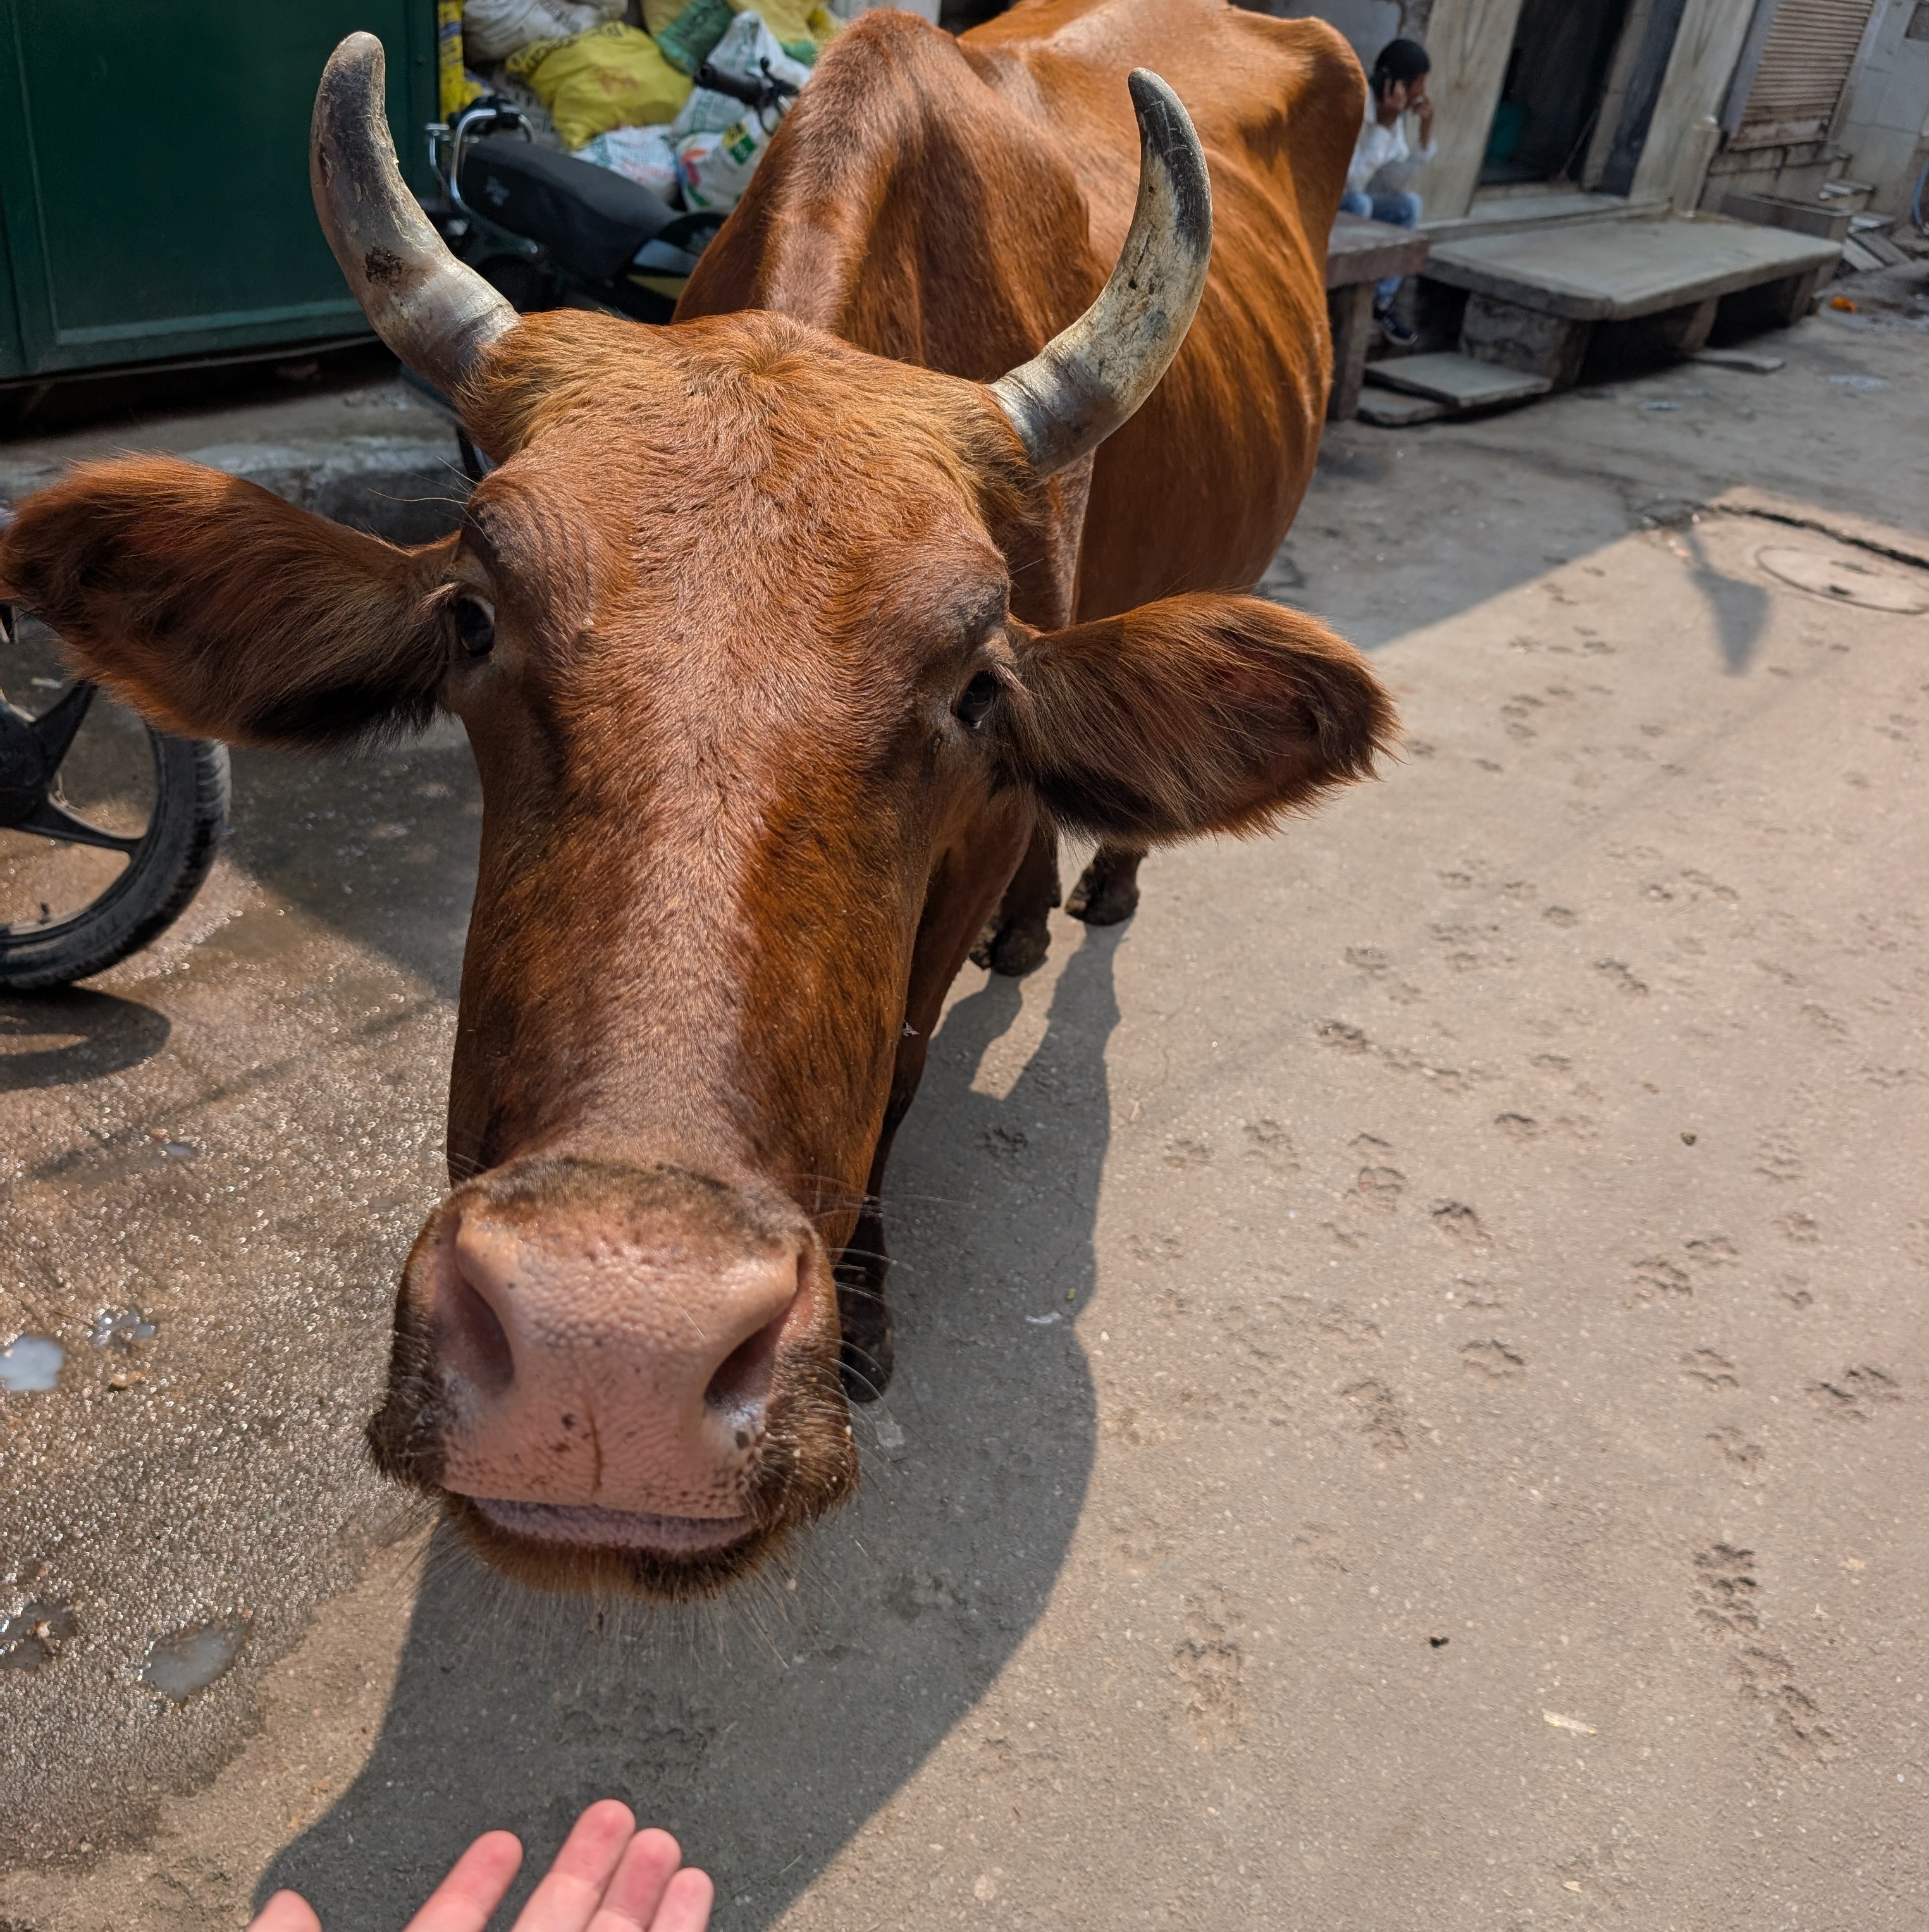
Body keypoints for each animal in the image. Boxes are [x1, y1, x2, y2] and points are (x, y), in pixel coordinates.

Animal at [0, 0, 1393, 1600]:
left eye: (974, 682)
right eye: (473, 616)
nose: (609, 1356)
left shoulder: (978, 822)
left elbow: (904, 1062)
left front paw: (865, 1312)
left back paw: (1095, 894)